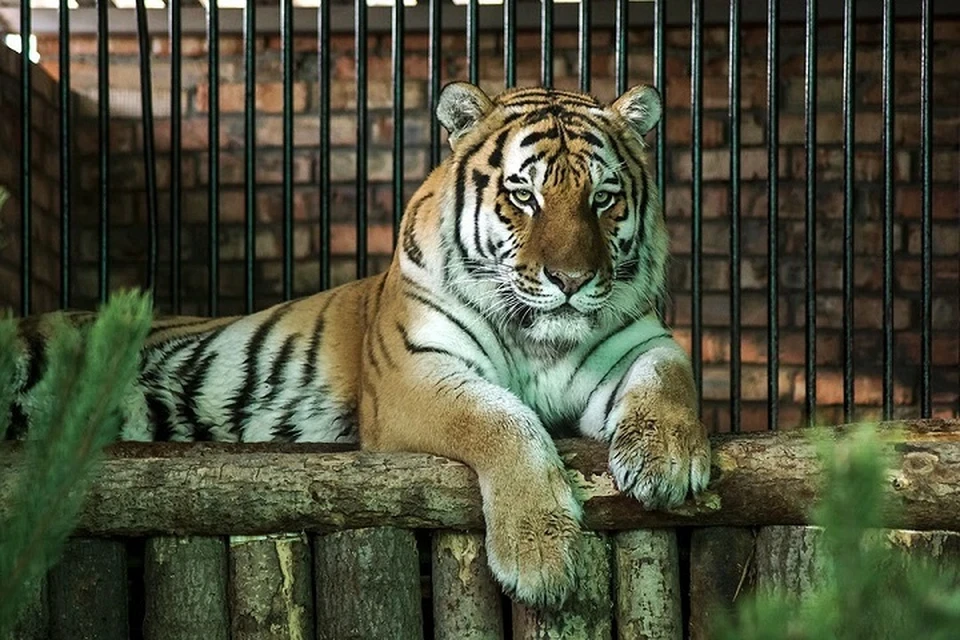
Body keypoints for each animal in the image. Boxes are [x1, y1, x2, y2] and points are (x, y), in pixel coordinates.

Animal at [9, 82, 712, 608]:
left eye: (604, 198)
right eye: (523, 195)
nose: (571, 280)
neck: (539, 341)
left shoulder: (639, 339)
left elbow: (669, 374)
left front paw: (669, 459)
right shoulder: (413, 376)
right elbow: (501, 419)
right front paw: (540, 553)